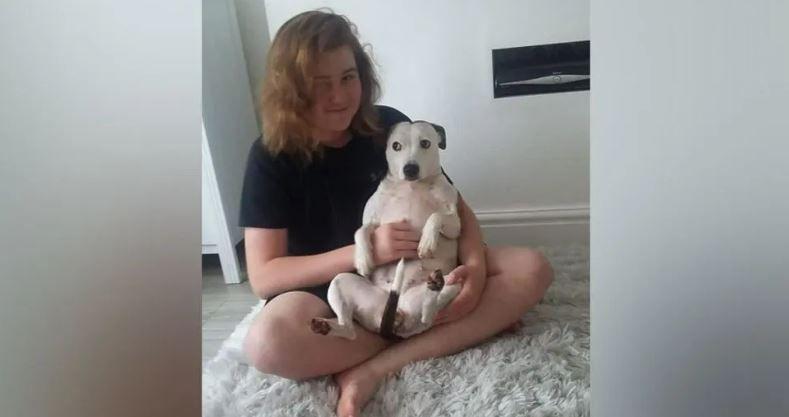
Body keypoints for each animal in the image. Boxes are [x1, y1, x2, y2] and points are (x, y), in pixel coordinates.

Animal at [310, 119, 462, 338]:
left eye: (425, 143)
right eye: (396, 146)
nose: (410, 169)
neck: (413, 186)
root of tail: (398, 319)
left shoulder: (454, 223)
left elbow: (436, 216)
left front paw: (427, 242)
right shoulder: (371, 221)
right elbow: (360, 231)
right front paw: (363, 259)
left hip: (456, 280)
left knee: (429, 313)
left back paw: (434, 288)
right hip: (339, 282)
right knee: (349, 331)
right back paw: (326, 326)